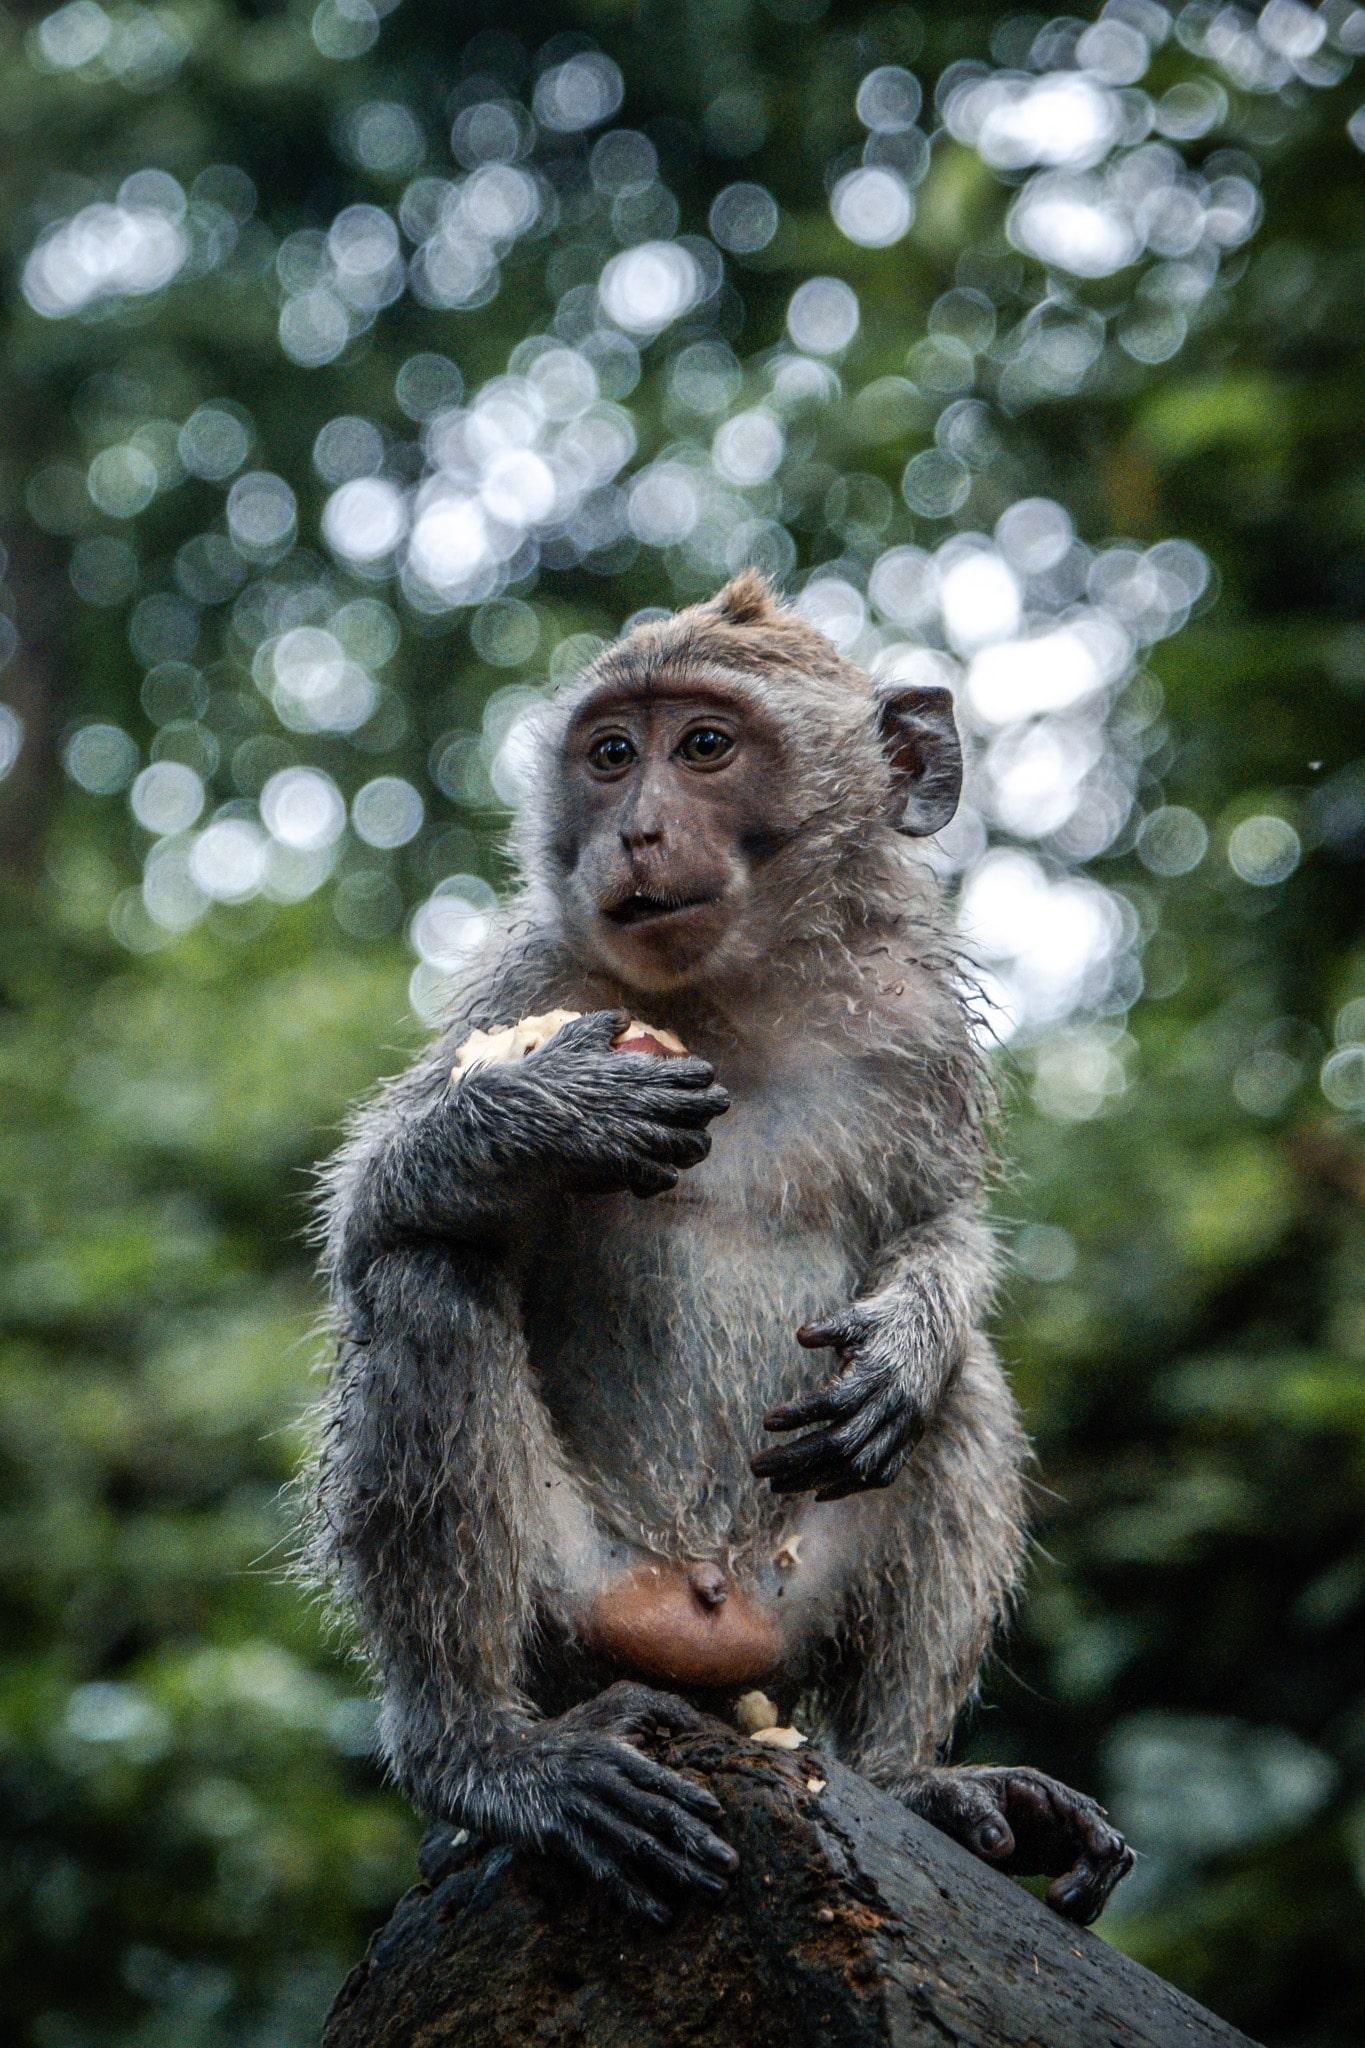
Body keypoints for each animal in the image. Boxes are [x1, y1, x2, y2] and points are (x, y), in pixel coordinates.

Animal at [302, 570, 1134, 1930]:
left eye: (704, 746)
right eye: (609, 754)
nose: (635, 830)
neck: (734, 996)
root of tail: (700, 1629)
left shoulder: (916, 1026)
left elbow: (935, 1224)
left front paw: (907, 1334)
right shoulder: (528, 984)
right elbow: (371, 1211)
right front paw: (546, 1111)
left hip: (791, 1601)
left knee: (962, 1392)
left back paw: (905, 1774)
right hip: (572, 1600)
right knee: (426, 1278)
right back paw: (483, 1759)